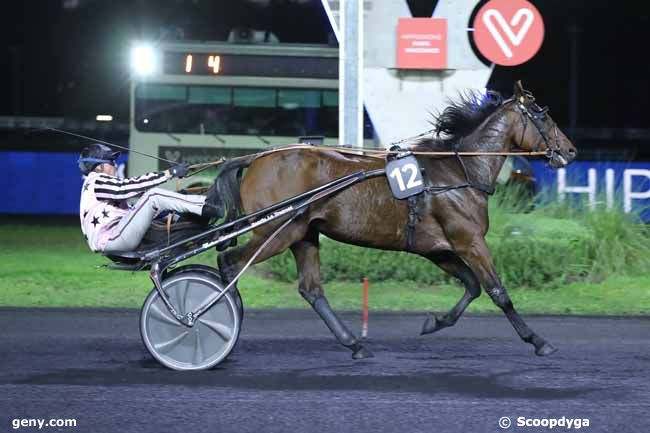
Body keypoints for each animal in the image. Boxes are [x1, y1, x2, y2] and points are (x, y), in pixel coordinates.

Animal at [209, 81, 576, 358]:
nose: (571, 151)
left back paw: (355, 344)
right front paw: (538, 341)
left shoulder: (438, 249)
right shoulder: (469, 241)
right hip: (276, 232)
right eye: (543, 116)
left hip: (303, 234)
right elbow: (497, 291)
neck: (459, 172)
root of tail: (256, 158)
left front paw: (434, 322)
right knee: (230, 262)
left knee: (311, 290)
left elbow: (471, 286)